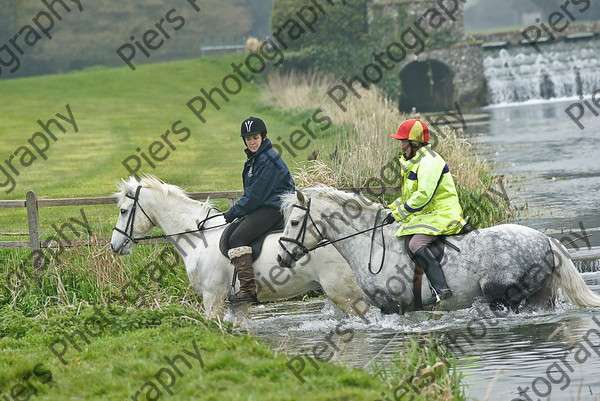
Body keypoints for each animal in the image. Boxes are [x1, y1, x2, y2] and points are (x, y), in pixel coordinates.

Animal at [111, 175, 366, 318]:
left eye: (123, 211)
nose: (114, 245)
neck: (199, 237)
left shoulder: (212, 299)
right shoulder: (237, 305)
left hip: (347, 297)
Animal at [276, 186, 600, 314]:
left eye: (294, 222)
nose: (281, 258)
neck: (370, 243)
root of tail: (546, 240)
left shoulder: (391, 306)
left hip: (504, 297)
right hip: (539, 298)